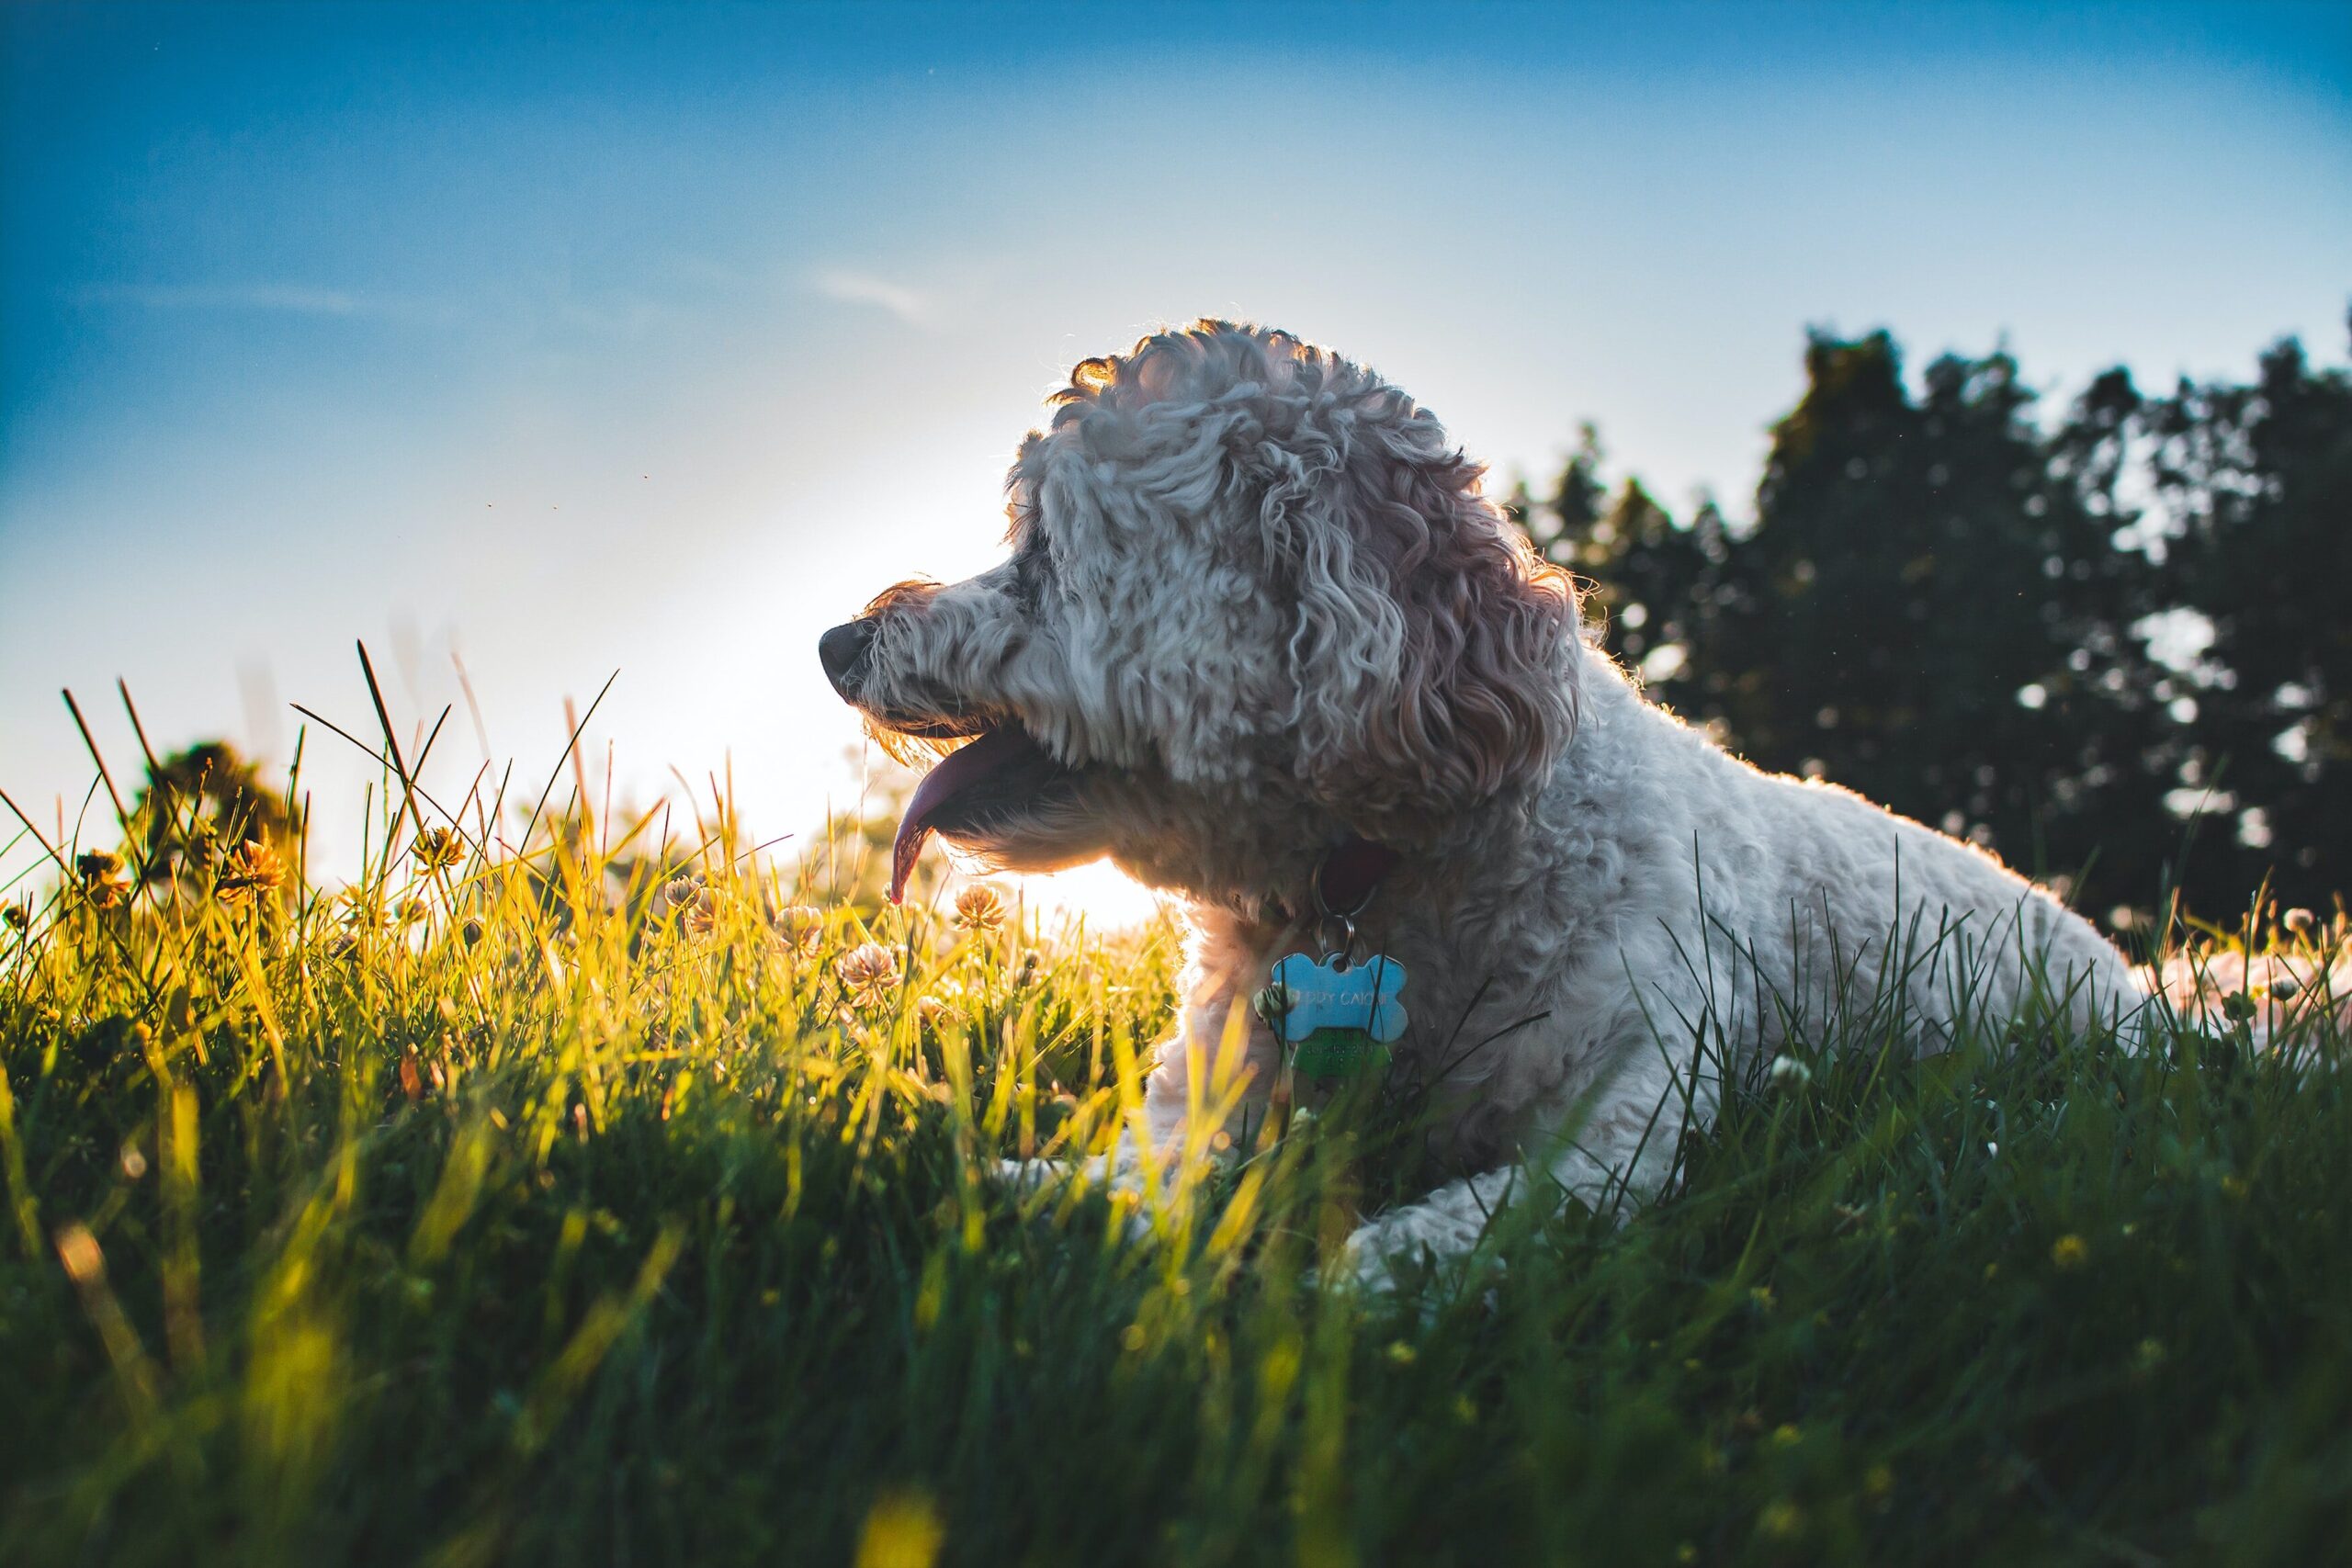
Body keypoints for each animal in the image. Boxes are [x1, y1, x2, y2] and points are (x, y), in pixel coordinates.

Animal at [818, 320, 2144, 1288]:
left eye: (1044, 546)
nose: (837, 643)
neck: (1383, 874)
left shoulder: (1622, 1119)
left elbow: (1471, 1224)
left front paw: (1348, 1288)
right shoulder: (1219, 1086)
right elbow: (1142, 1176)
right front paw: (991, 1188)